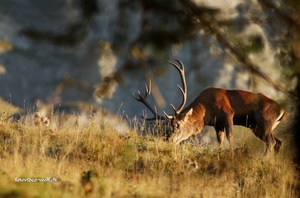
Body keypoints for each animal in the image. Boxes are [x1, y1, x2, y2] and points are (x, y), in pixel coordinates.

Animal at [134, 59, 286, 154]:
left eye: (178, 125)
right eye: (168, 127)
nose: (169, 140)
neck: (206, 111)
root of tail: (283, 110)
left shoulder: (228, 113)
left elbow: (230, 136)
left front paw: (231, 154)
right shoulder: (217, 124)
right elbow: (220, 141)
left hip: (265, 120)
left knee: (271, 142)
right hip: (257, 127)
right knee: (278, 142)